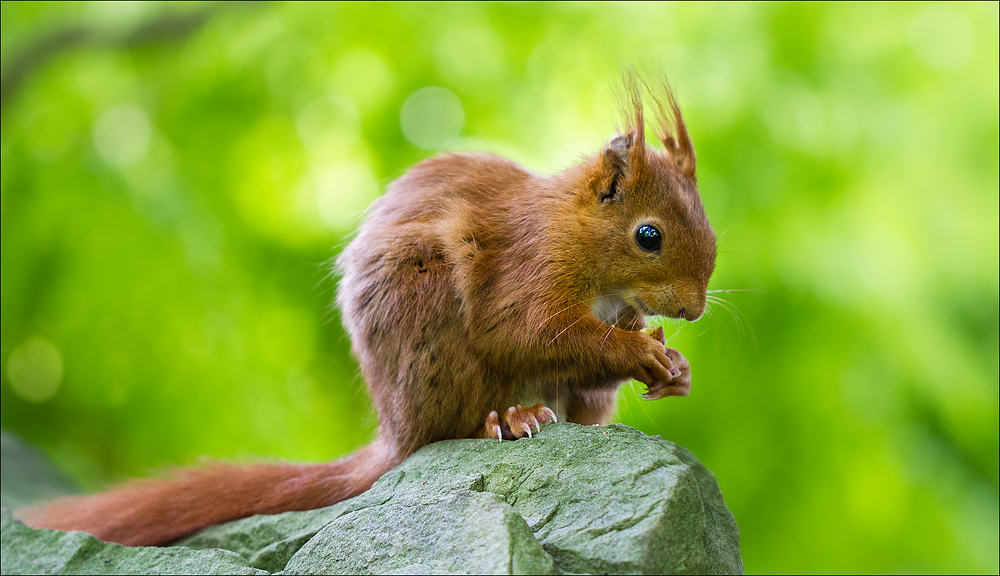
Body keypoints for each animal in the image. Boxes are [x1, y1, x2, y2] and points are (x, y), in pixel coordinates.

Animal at [17, 74, 720, 548]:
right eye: (649, 235)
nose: (693, 310)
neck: (577, 234)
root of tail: (394, 429)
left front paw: (676, 368)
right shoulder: (528, 268)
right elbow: (527, 333)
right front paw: (641, 351)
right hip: (430, 325)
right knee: (452, 427)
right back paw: (506, 418)